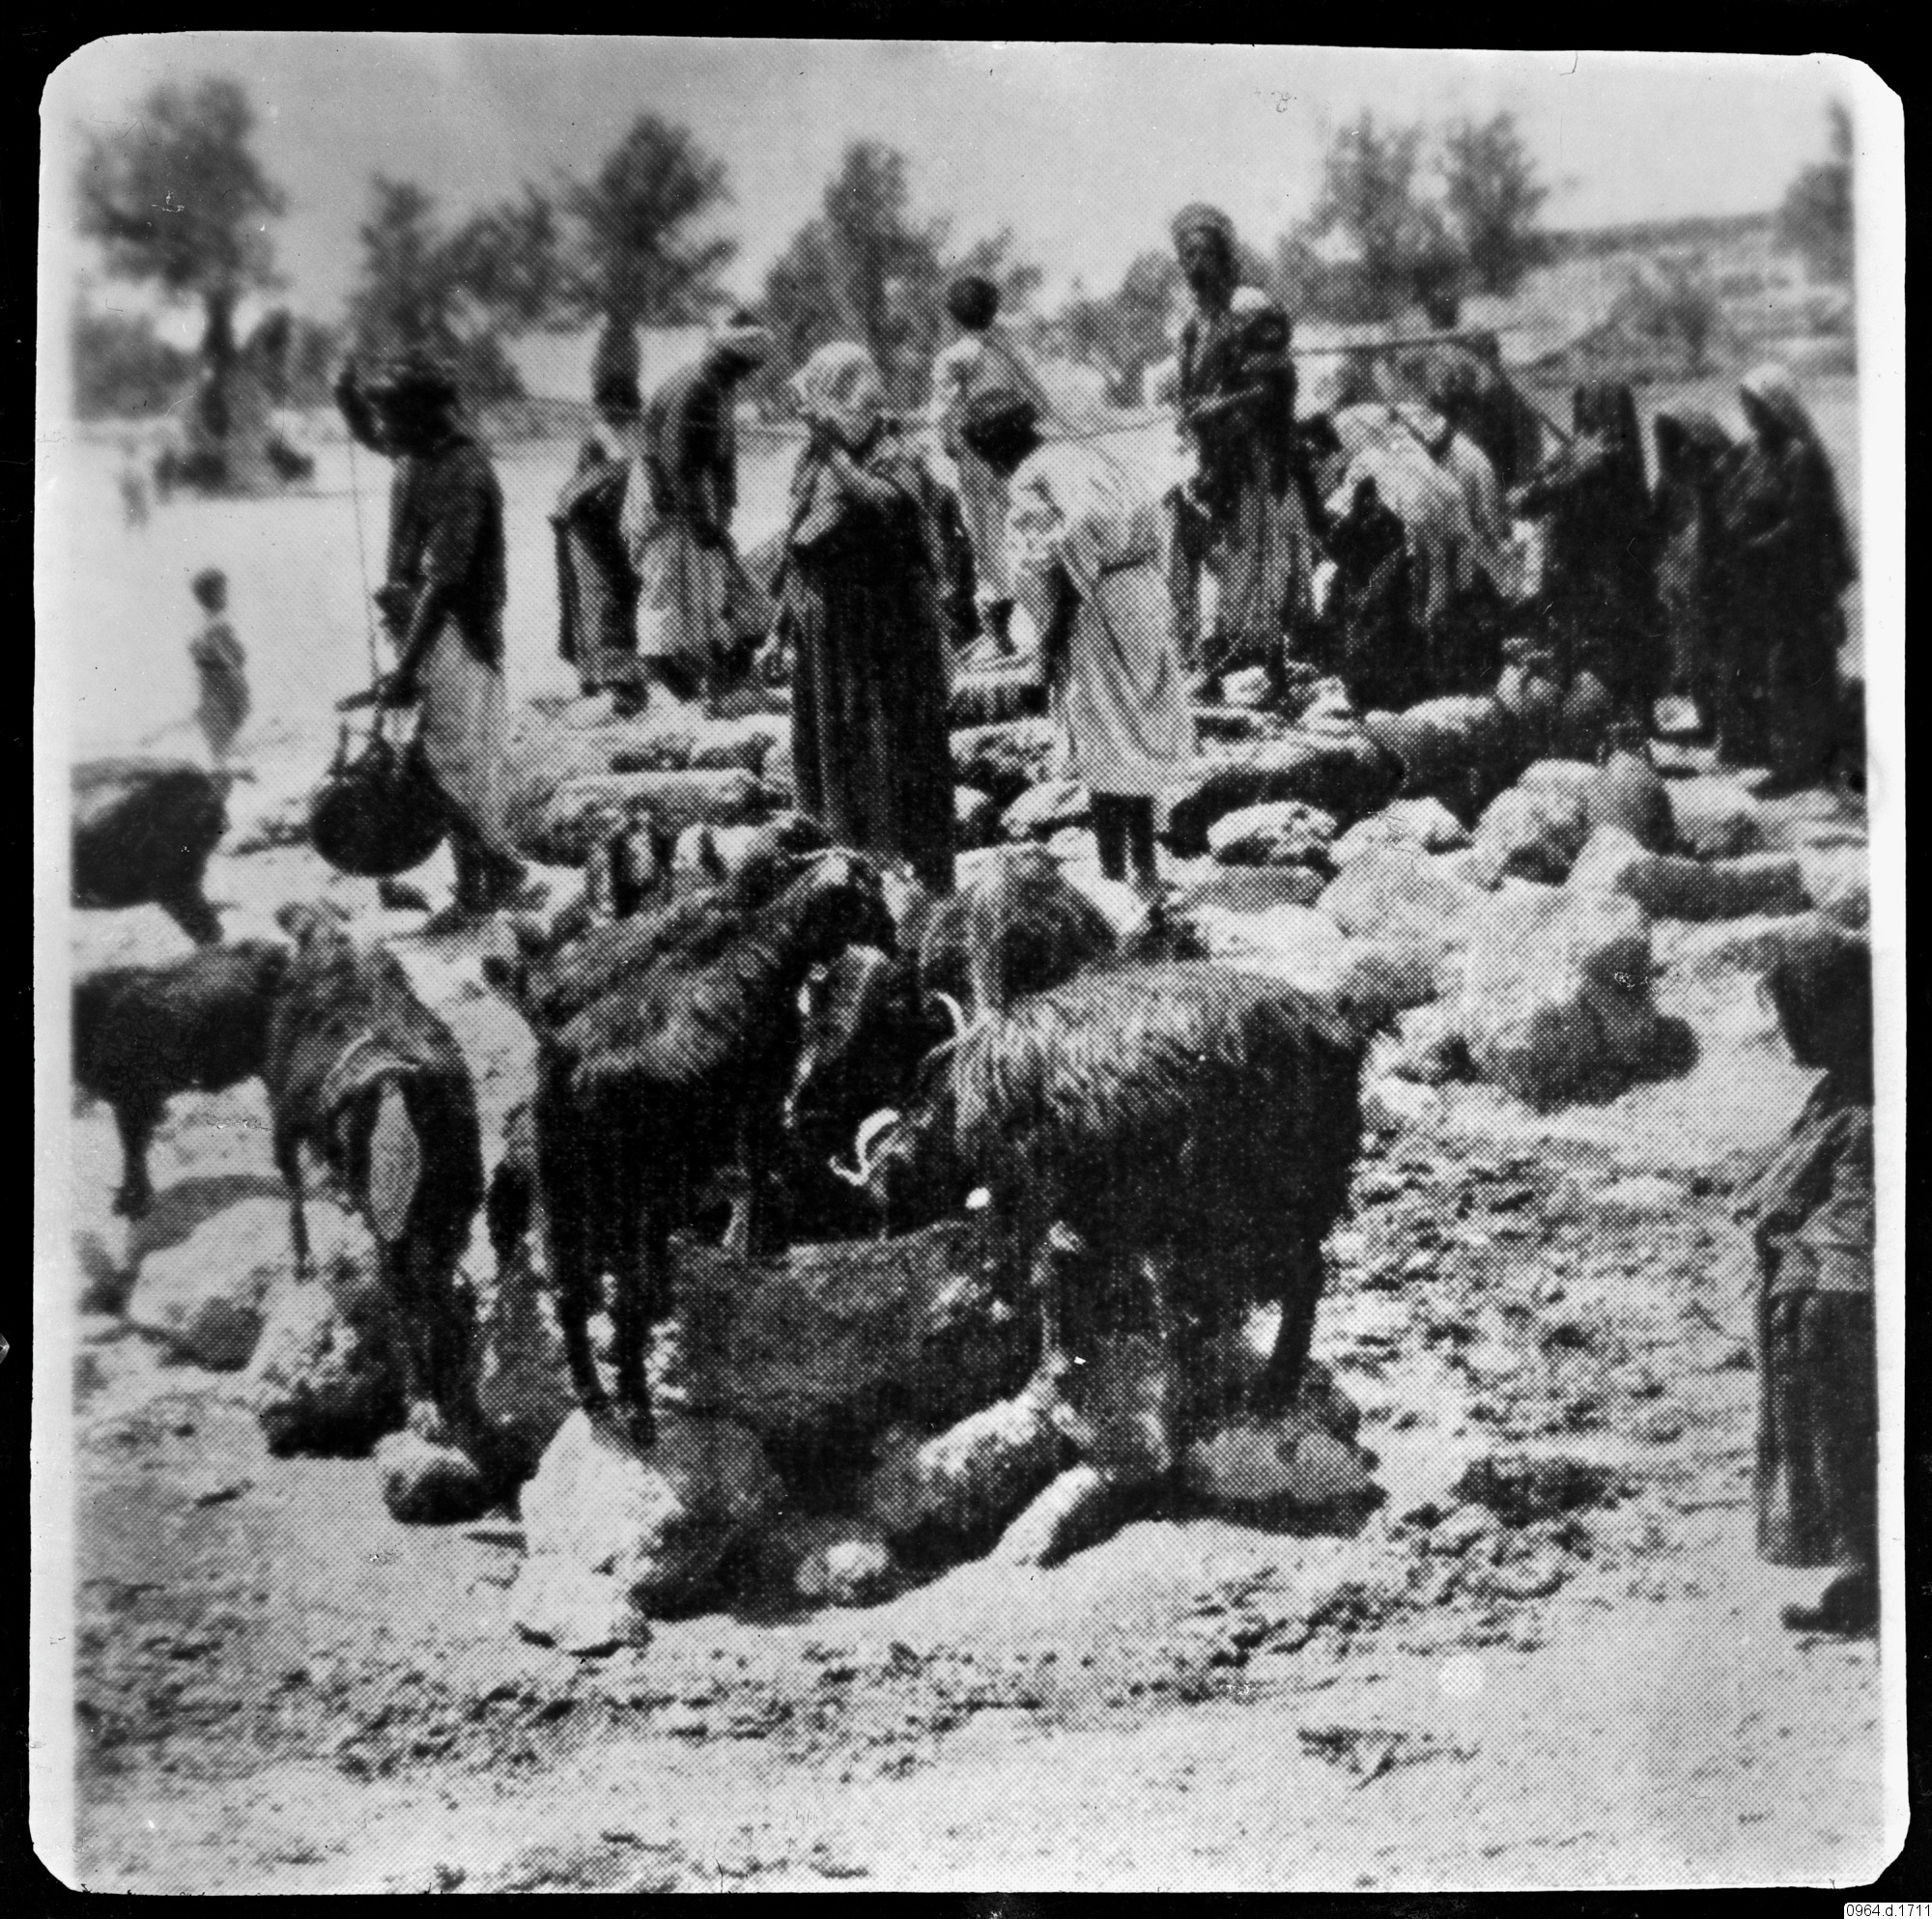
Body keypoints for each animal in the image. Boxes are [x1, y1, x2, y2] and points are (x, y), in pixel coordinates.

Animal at [524, 849, 896, 1440]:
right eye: (872, 887)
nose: (894, 936)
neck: (769, 939)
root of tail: (570, 1076)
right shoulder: (763, 1097)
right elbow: (759, 1171)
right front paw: (760, 1251)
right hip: (625, 1194)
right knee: (619, 1300)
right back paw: (637, 1412)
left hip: (566, 1194)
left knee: (571, 1293)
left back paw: (595, 1398)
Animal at [834, 961, 1369, 1416]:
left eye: (882, 1195)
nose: (880, 1236)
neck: (958, 1102)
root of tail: (1335, 1031)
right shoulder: (1095, 1204)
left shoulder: (1032, 1188)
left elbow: (1033, 1269)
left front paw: (1039, 1365)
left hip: (1268, 1186)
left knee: (1304, 1274)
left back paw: (1274, 1387)